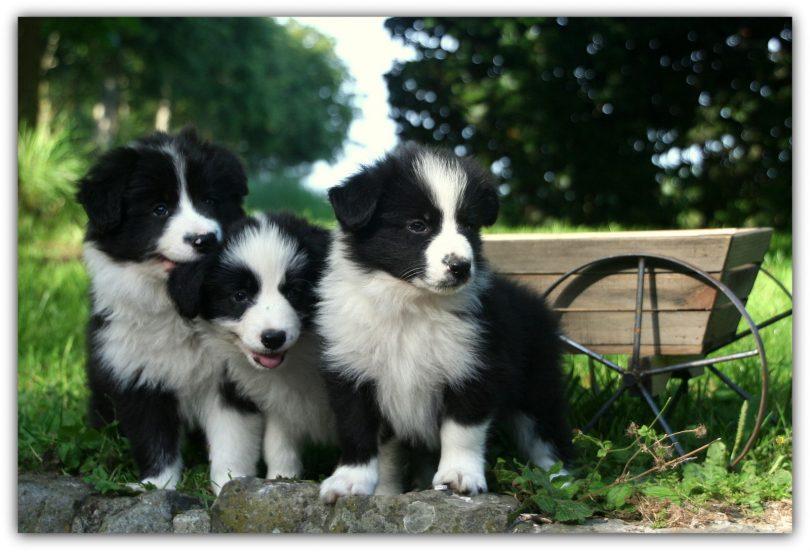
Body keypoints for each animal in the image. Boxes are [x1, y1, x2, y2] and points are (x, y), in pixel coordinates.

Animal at [75, 127, 258, 494]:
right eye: (159, 209)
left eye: (209, 201)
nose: (204, 239)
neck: (176, 307)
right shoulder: (136, 373)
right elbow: (153, 438)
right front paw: (156, 486)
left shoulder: (232, 378)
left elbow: (233, 437)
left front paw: (230, 484)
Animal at [169, 211, 336, 478]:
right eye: (240, 296)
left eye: (295, 292)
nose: (273, 338)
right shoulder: (281, 402)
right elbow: (278, 446)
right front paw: (281, 480)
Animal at [312, 143, 572, 504]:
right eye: (418, 225)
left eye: (468, 225)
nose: (461, 266)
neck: (411, 304)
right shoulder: (350, 370)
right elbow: (357, 430)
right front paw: (351, 482)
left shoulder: (474, 365)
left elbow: (461, 430)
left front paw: (458, 476)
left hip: (537, 383)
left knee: (546, 432)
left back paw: (560, 482)